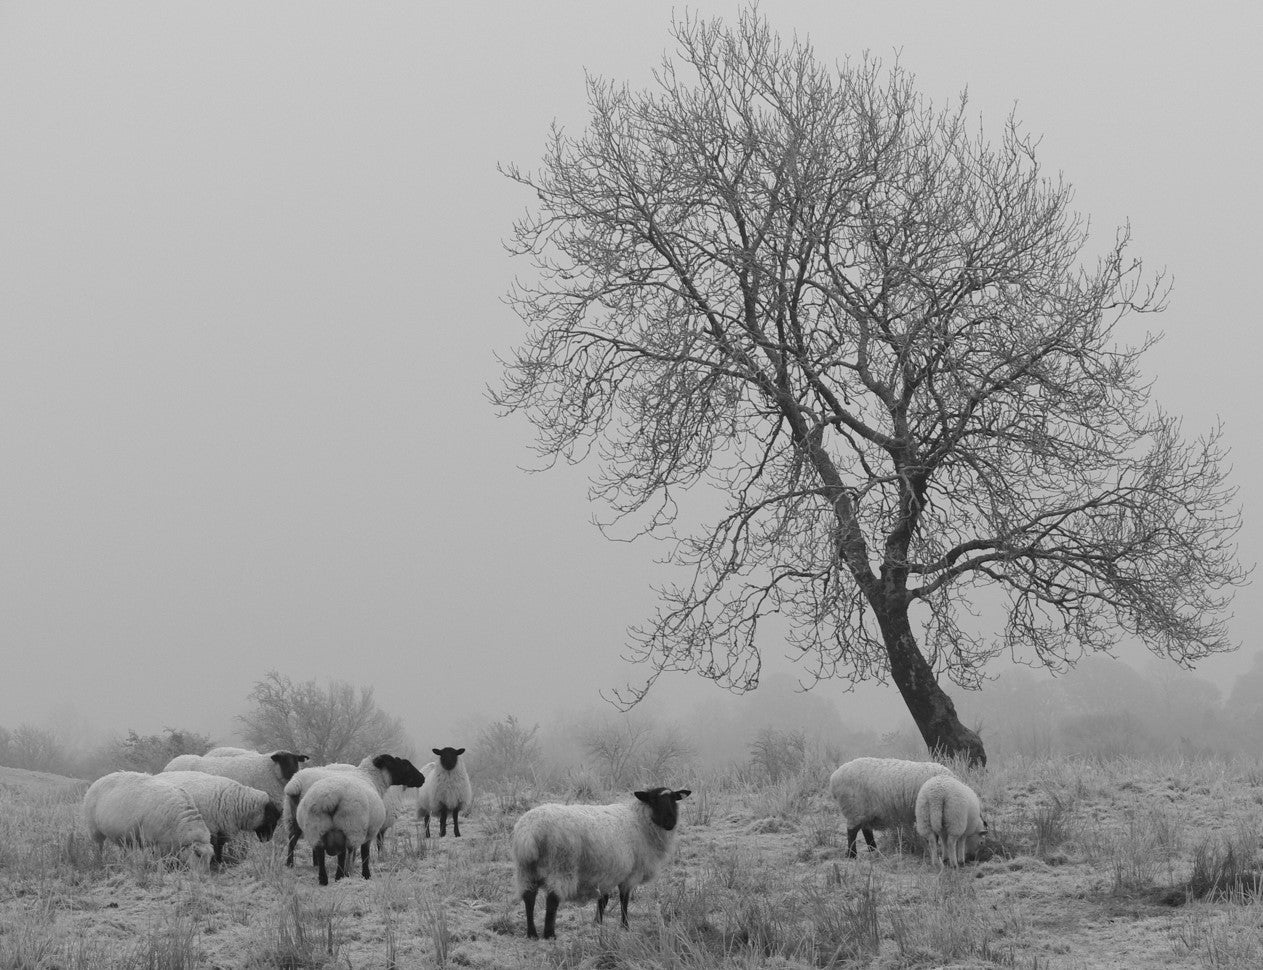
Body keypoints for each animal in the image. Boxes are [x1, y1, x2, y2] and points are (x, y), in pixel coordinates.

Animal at [82, 772, 214, 863]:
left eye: (211, 857)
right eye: (198, 854)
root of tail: (100, 779)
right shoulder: (154, 842)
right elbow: (159, 860)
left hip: (123, 836)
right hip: (94, 830)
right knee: (98, 847)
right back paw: (99, 861)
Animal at [156, 772, 285, 863]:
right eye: (270, 817)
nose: (267, 839)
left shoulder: (221, 830)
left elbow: (219, 847)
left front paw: (219, 860)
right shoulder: (212, 830)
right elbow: (215, 847)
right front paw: (216, 862)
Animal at [286, 752, 424, 884]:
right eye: (402, 764)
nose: (422, 778)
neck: (371, 778)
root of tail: (329, 797)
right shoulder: (370, 831)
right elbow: (365, 853)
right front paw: (366, 875)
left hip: (314, 827)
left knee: (317, 850)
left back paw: (323, 878)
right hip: (351, 826)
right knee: (347, 851)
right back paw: (341, 875)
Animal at [510, 788, 692, 939]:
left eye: (674, 799)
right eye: (653, 800)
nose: (670, 823)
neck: (640, 821)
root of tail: (530, 832)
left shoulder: (605, 874)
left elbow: (602, 900)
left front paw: (597, 923)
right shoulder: (630, 874)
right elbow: (624, 899)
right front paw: (625, 926)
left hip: (526, 870)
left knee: (529, 898)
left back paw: (532, 933)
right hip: (561, 866)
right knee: (552, 900)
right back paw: (549, 934)